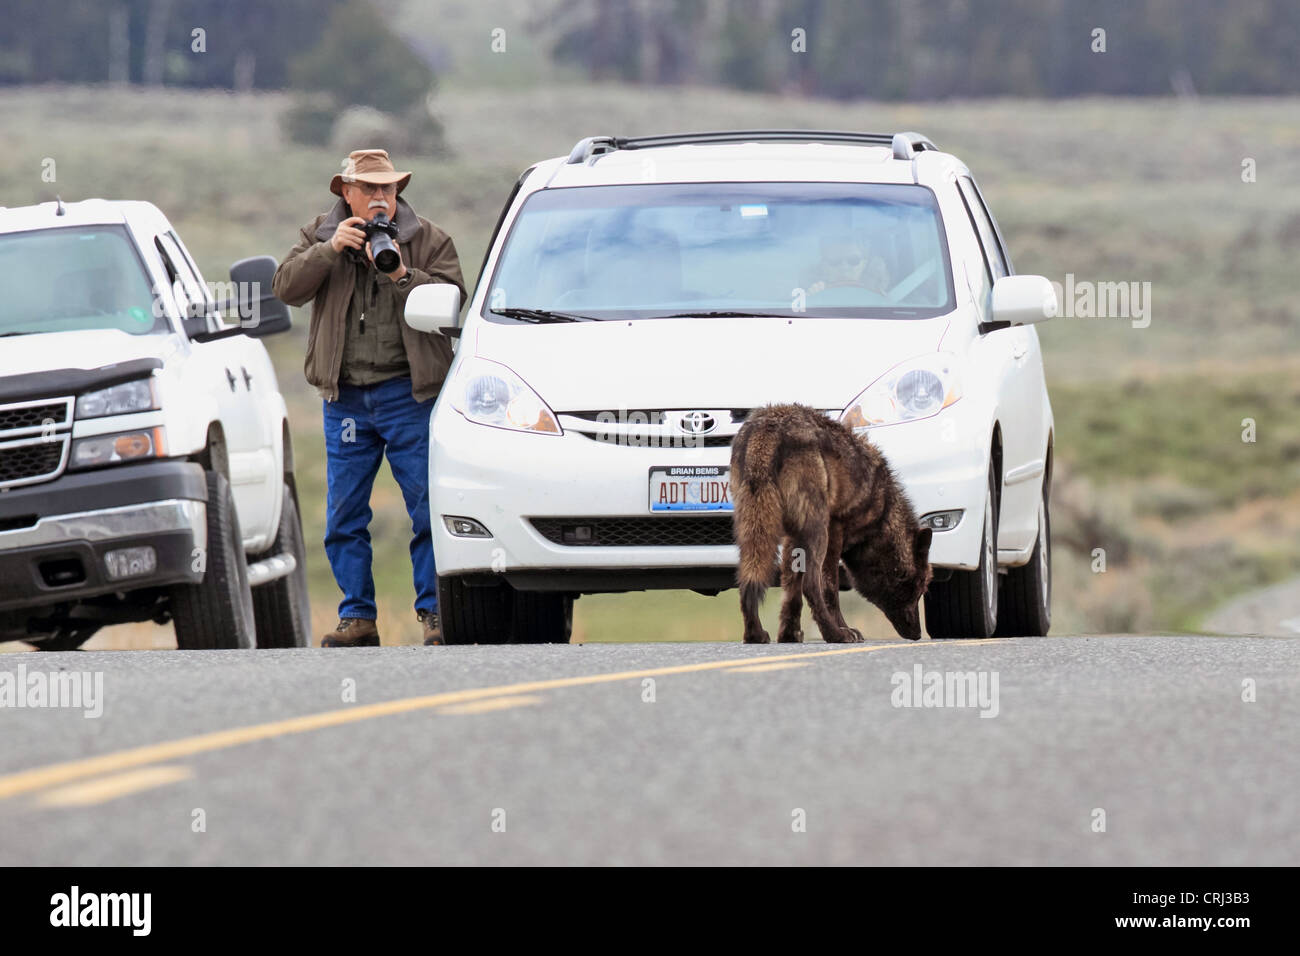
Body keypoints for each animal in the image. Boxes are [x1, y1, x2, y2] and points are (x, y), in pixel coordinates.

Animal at [733, 403, 935, 642]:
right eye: (920, 588)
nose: (918, 634)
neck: (883, 512)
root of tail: (768, 428)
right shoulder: (835, 531)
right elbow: (829, 589)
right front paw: (844, 629)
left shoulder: (793, 537)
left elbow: (791, 587)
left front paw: (788, 634)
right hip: (818, 532)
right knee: (811, 584)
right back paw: (834, 634)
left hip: (752, 531)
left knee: (747, 578)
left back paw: (754, 634)